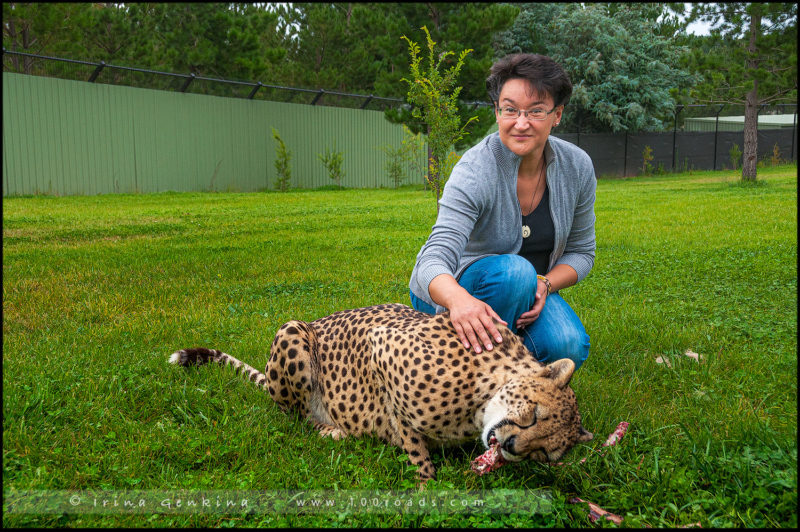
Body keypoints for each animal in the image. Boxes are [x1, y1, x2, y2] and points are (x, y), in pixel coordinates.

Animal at [169, 304, 592, 482]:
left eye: (545, 455)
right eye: (533, 415)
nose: (513, 448)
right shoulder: (380, 344)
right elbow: (408, 433)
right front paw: (424, 482)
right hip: (293, 333)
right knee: (294, 417)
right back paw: (329, 428)